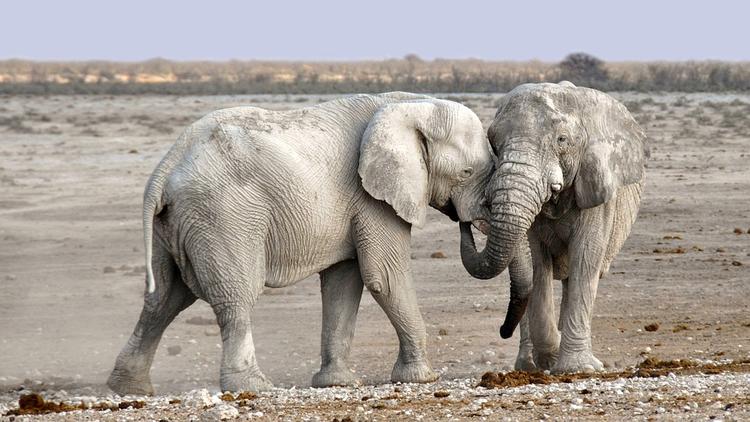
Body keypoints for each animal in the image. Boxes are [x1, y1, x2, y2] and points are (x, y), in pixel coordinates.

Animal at [106, 92, 494, 396]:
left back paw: (129, 388)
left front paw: (337, 383)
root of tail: (166, 166)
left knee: (164, 298)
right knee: (235, 296)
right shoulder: (373, 197)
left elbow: (343, 282)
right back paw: (253, 387)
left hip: (175, 224)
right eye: (466, 173)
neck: (411, 105)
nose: (465, 222)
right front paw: (422, 377)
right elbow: (383, 276)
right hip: (222, 216)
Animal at [462, 81, 648, 372]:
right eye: (493, 142)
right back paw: (529, 365)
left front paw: (577, 368)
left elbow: (586, 258)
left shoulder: (596, 187)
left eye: (562, 140)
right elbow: (538, 264)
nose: (502, 331)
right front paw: (551, 357)